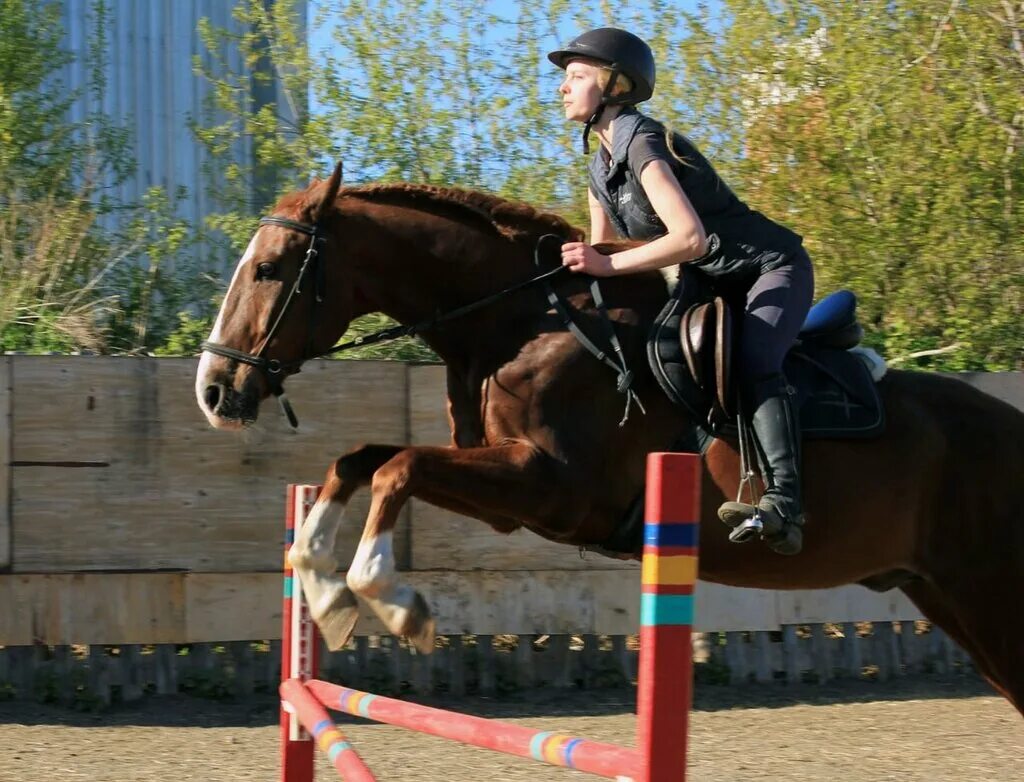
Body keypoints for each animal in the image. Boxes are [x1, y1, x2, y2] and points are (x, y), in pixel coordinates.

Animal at [193, 164, 1024, 716]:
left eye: (268, 270)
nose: (213, 390)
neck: (523, 322)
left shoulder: (554, 489)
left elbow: (398, 468)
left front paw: (386, 600)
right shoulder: (512, 495)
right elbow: (363, 459)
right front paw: (320, 578)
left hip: (988, 598)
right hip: (946, 596)